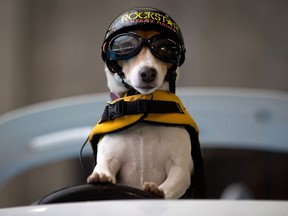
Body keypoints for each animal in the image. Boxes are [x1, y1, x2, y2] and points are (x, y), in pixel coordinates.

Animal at [86, 29, 194, 198]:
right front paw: (101, 176)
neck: (142, 106)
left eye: (166, 49)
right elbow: (103, 165)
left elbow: (171, 183)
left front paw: (158, 191)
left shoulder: (179, 167)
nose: (148, 72)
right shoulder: (110, 158)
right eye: (124, 46)